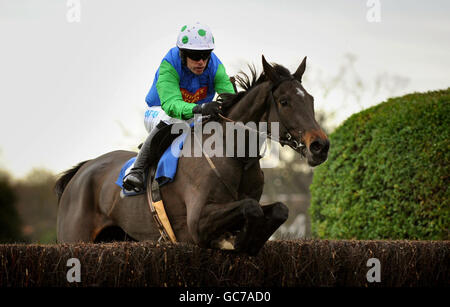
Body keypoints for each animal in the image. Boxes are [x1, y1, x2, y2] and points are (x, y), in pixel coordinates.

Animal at [56, 56, 328, 256]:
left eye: (311, 99)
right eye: (284, 101)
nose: (320, 146)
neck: (233, 155)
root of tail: (81, 171)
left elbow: (280, 208)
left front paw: (248, 240)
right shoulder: (196, 223)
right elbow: (249, 207)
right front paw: (236, 240)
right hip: (75, 238)